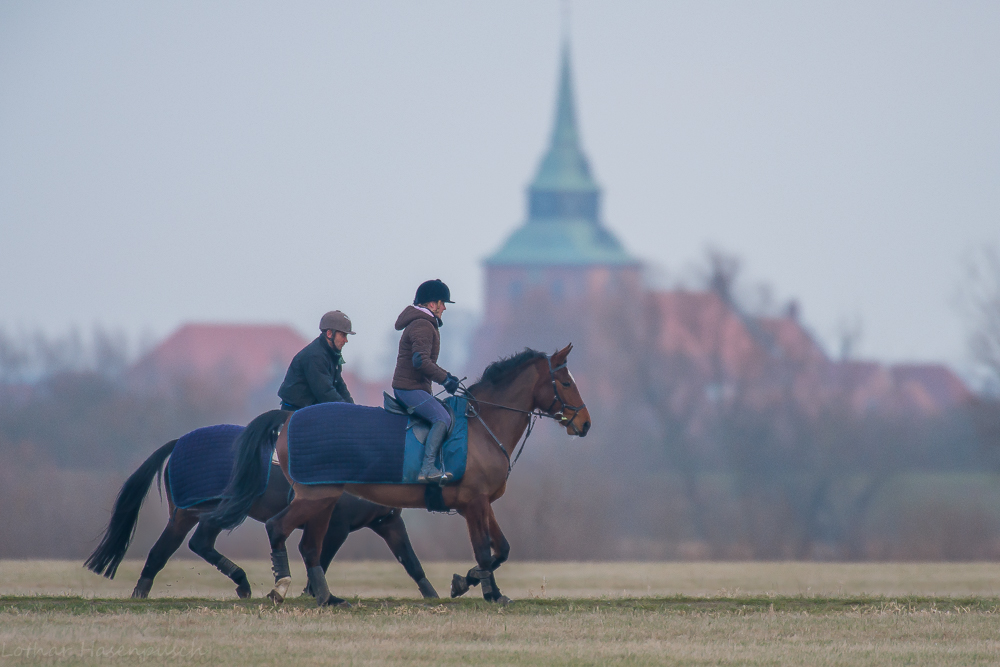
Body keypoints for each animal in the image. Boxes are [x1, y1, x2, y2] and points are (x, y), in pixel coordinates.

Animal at [88, 434, 440, 600]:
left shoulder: (388, 523)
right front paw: (312, 593)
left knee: (177, 548)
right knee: (186, 545)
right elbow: (319, 558)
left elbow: (411, 562)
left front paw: (433, 595)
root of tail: (181, 442)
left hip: (193, 515)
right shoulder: (335, 526)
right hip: (201, 512)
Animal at [208, 344, 588, 604]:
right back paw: (281, 586)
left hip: (322, 500)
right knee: (279, 529)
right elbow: (483, 551)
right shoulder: (472, 504)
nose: (585, 424)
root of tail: (290, 418)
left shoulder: (481, 504)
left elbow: (502, 549)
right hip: (316, 497)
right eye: (566, 382)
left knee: (308, 545)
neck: (483, 426)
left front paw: (477, 586)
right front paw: (477, 588)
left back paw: (326, 597)